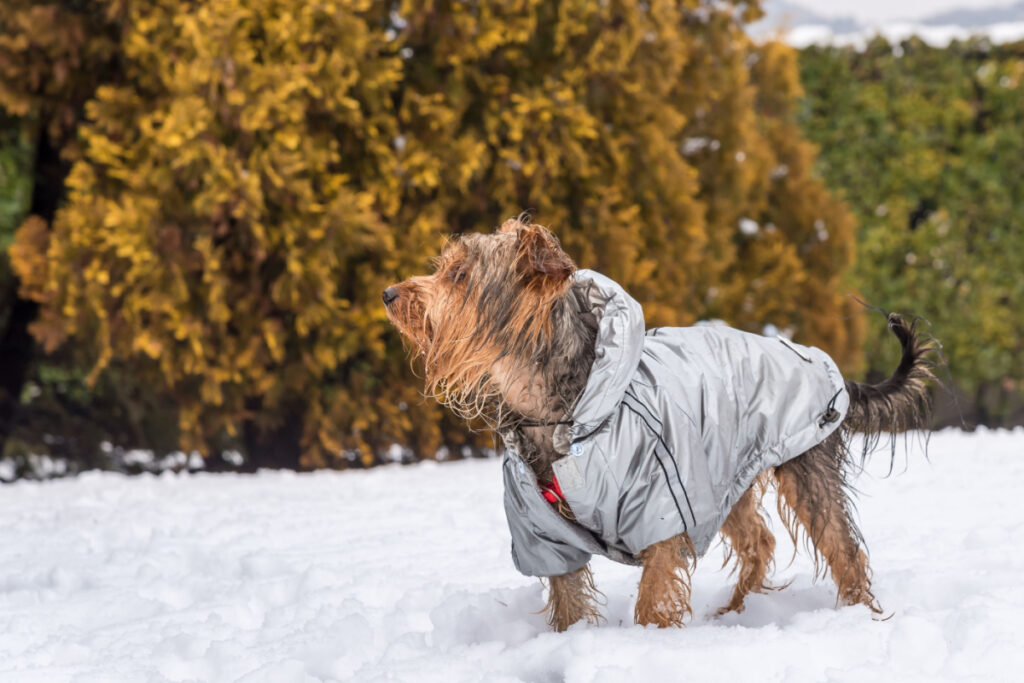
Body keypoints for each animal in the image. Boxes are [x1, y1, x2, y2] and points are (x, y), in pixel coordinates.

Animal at [385, 215, 937, 630]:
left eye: (459, 276)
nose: (389, 293)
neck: (563, 409)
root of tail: (825, 364)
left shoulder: (661, 508)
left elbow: (653, 594)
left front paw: (650, 639)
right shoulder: (542, 531)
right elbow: (567, 598)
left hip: (802, 462)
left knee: (842, 547)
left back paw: (858, 615)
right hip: (724, 472)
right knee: (758, 542)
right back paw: (733, 613)